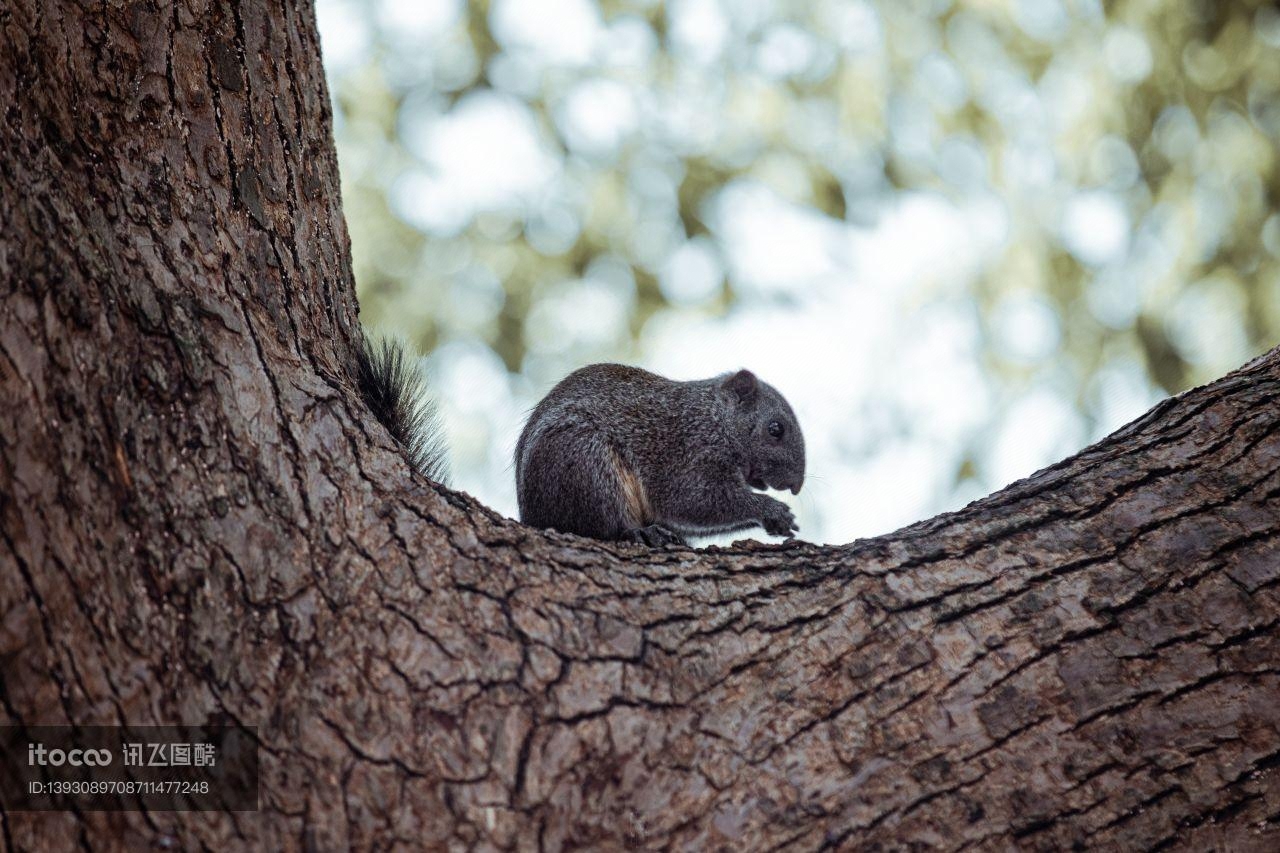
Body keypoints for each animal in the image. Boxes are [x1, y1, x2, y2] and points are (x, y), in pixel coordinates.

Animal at [355, 338, 803, 545]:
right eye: (775, 429)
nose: (796, 485)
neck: (716, 420)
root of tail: (532, 516)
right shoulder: (686, 450)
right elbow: (694, 500)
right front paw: (773, 510)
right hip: (585, 463)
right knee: (602, 525)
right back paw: (638, 533)